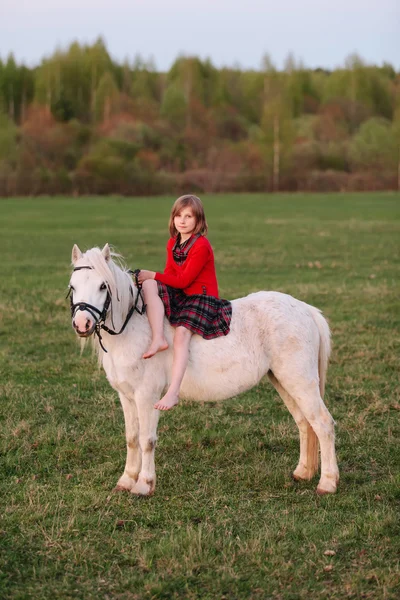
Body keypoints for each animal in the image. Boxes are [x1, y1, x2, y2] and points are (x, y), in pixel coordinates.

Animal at [69, 244, 338, 496]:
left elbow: (147, 440)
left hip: (299, 381)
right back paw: (303, 472)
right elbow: (132, 438)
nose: (82, 324)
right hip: (283, 381)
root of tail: (306, 310)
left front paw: (144, 485)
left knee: (323, 424)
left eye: (103, 286)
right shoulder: (126, 396)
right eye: (73, 287)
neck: (134, 327)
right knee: (305, 423)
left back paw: (327, 482)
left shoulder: (147, 396)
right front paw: (126, 480)